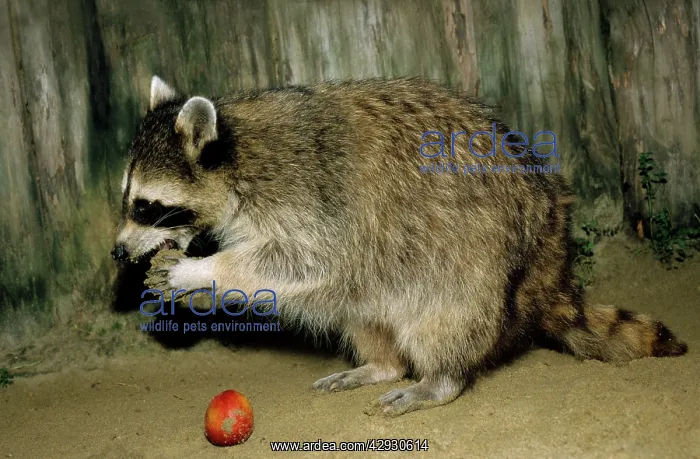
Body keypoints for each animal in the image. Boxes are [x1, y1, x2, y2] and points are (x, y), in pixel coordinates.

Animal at [112, 75, 687, 416]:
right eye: (126, 199)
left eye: (145, 206)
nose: (117, 253)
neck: (238, 152)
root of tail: (550, 230)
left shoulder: (317, 198)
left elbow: (302, 260)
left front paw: (200, 270)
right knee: (361, 310)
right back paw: (381, 362)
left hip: (475, 258)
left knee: (443, 320)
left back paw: (441, 378)